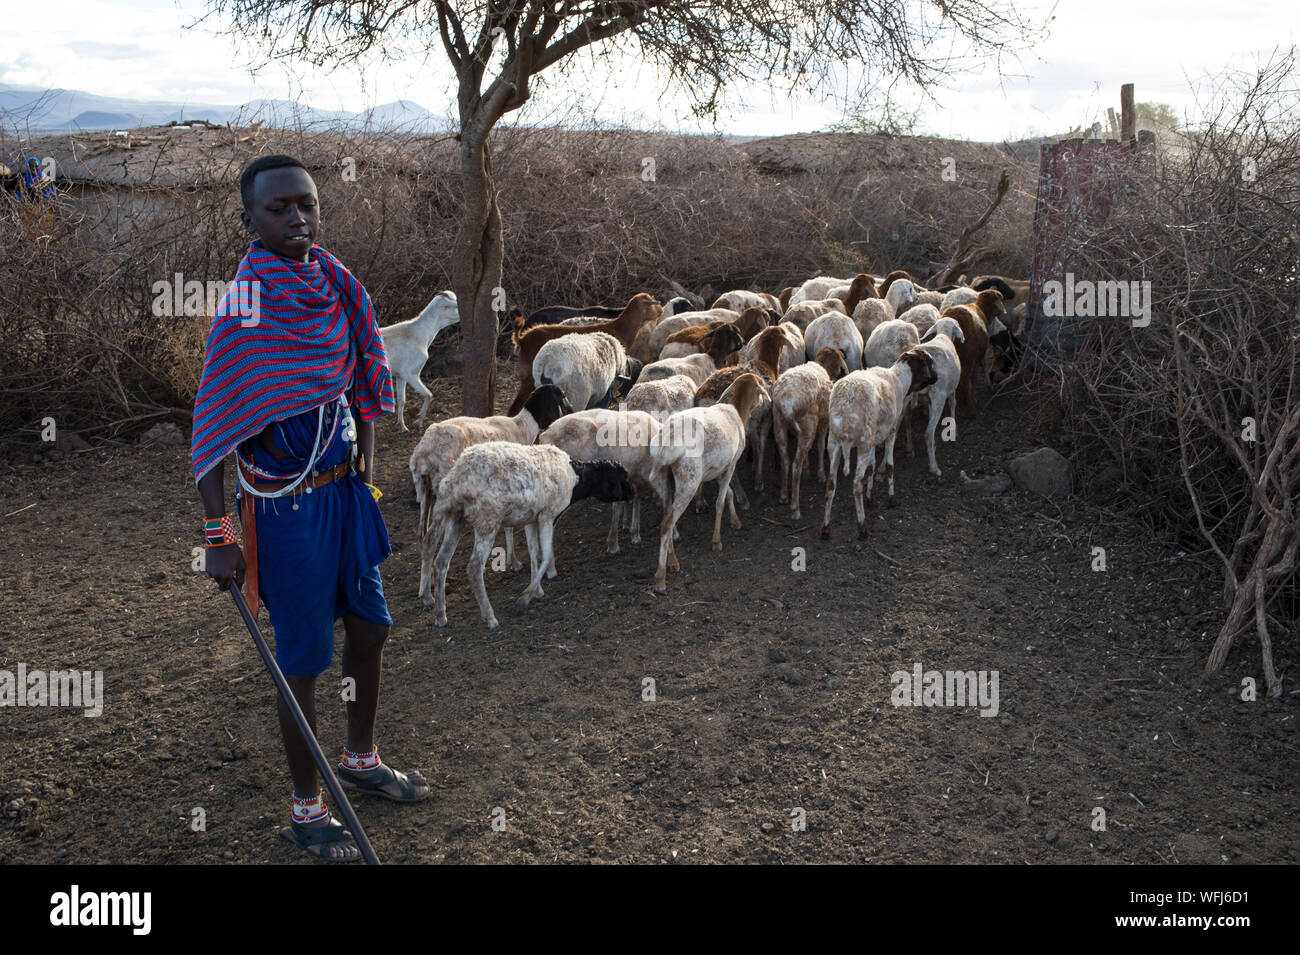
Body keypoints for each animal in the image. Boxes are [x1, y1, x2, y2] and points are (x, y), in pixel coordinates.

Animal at [379, 287, 460, 428]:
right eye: (453, 305)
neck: (419, 334)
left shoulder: (400, 375)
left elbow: (402, 400)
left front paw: (402, 425)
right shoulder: (411, 374)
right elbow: (429, 394)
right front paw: (418, 421)